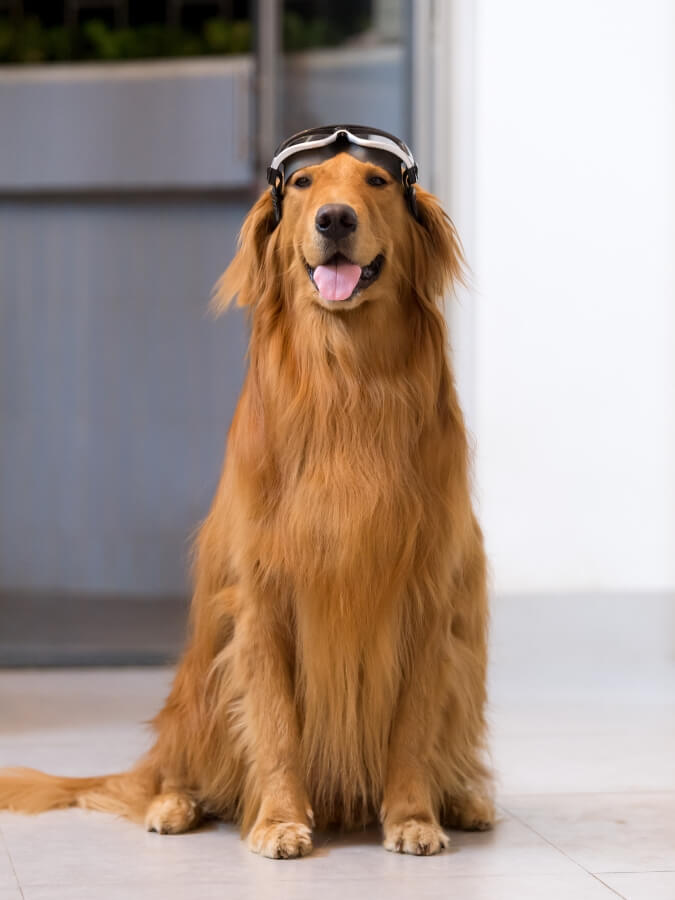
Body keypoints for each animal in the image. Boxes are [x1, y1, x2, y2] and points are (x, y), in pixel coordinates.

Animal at [1, 141, 496, 856]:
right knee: (170, 768)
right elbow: (276, 724)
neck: (348, 384)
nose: (335, 219)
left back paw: (463, 799)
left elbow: (410, 731)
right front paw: (280, 820)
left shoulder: (427, 599)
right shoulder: (264, 597)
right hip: (200, 686)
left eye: (376, 180)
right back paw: (174, 804)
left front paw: (412, 817)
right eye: (305, 183)